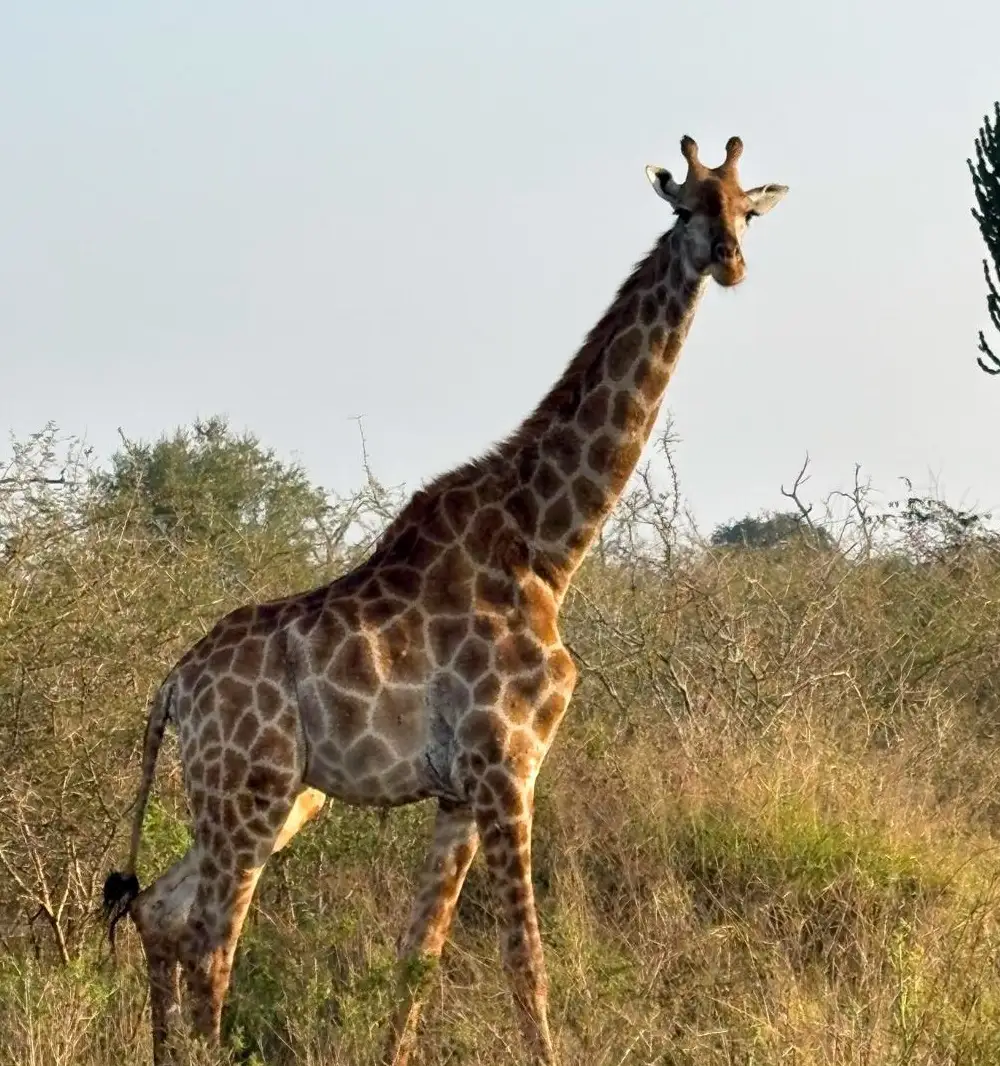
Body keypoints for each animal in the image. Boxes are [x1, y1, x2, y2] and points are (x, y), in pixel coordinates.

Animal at [103, 134, 787, 1065]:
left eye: (747, 209)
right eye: (686, 206)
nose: (731, 260)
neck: (548, 547)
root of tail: (171, 687)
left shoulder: (460, 792)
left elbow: (417, 960)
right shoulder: (507, 765)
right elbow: (525, 963)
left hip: (275, 798)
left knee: (160, 912)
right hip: (248, 788)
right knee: (212, 942)